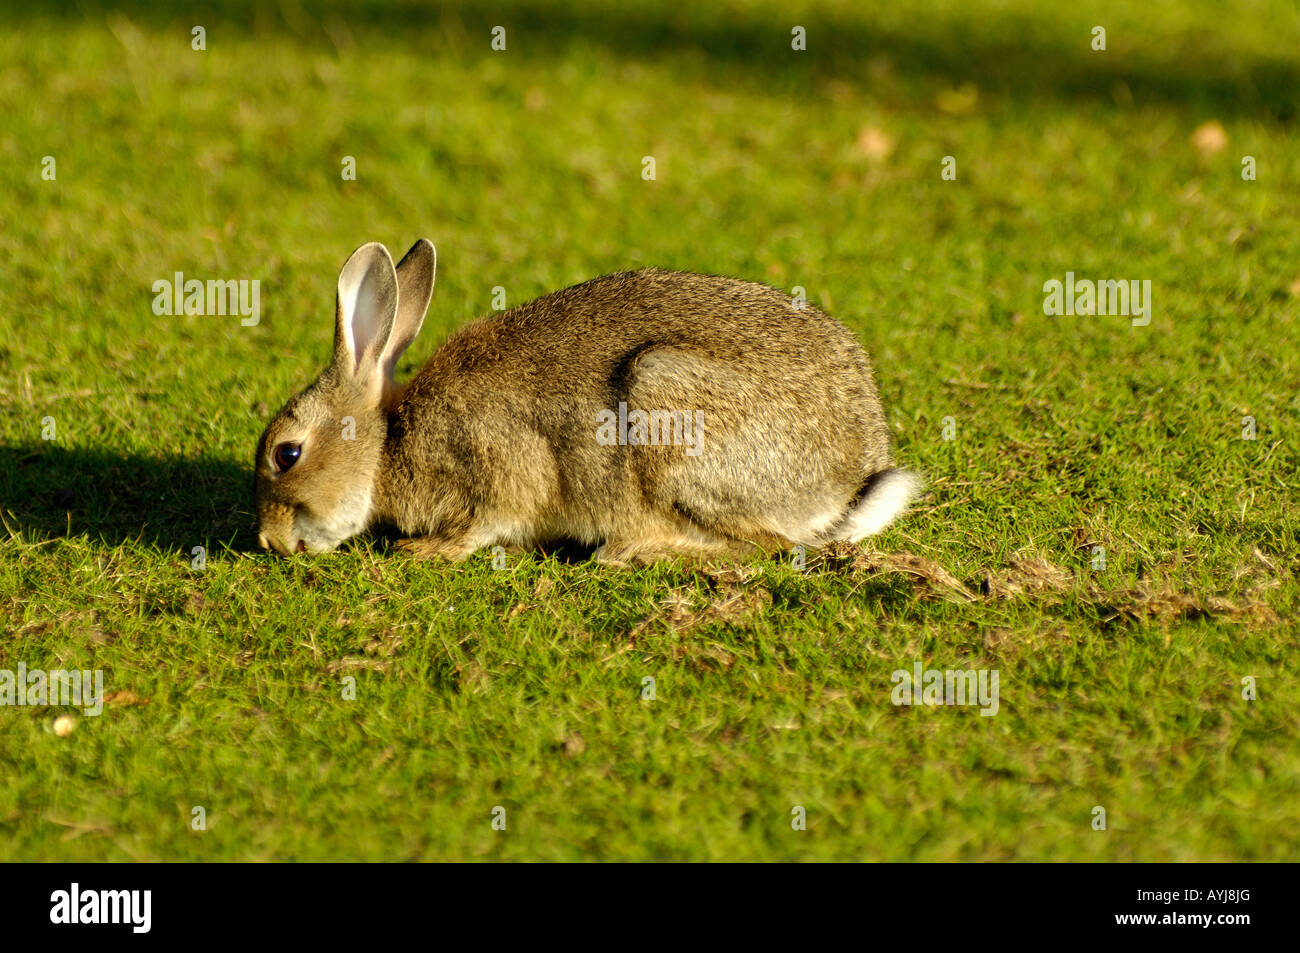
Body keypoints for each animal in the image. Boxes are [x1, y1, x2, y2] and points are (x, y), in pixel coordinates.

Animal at [256, 239, 925, 564]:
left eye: (287, 455)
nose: (268, 542)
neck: (386, 444)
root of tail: (852, 476)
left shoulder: (502, 465)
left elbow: (487, 520)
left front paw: (425, 550)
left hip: (665, 402)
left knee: (765, 545)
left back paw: (631, 551)